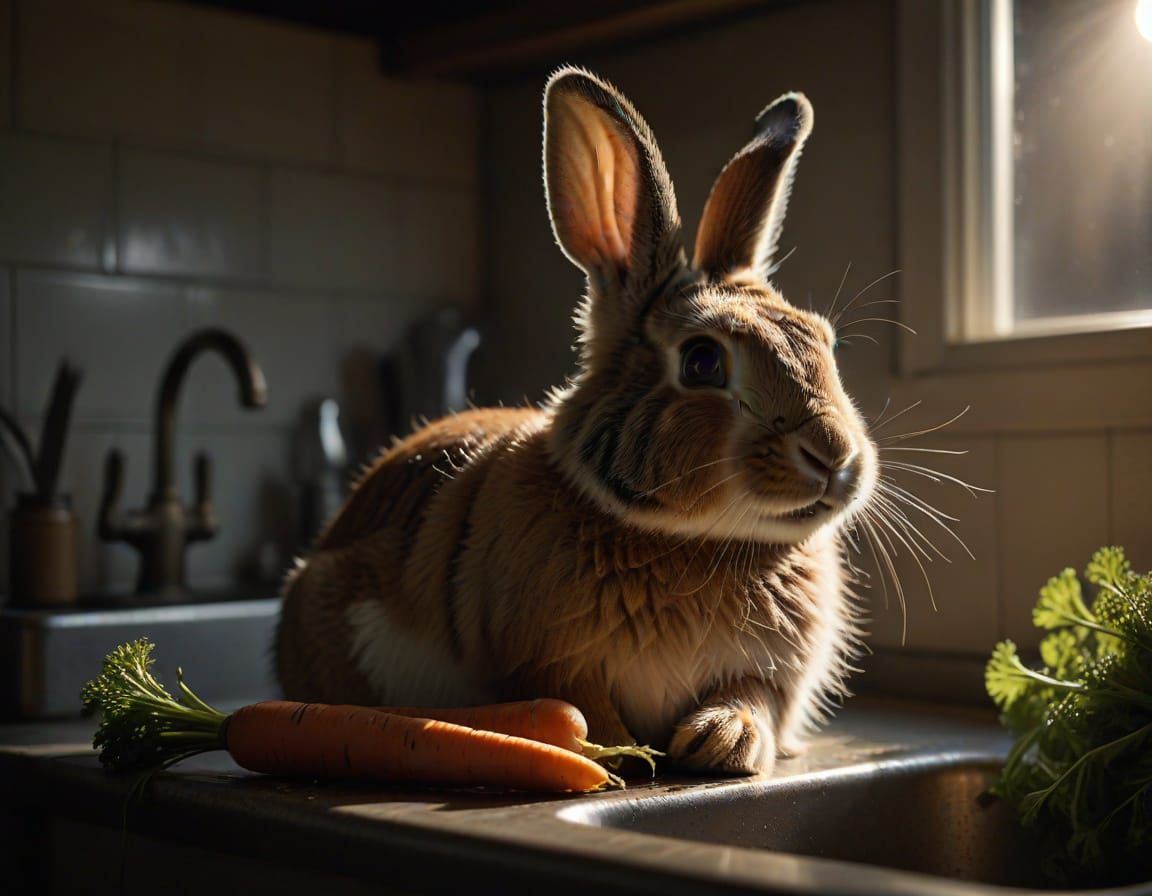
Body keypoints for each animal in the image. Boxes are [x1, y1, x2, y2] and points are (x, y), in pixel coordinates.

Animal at [275, 66, 878, 776]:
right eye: (702, 362)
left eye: (824, 341)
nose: (834, 455)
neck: (697, 539)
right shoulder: (550, 660)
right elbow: (578, 703)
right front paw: (621, 753)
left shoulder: (770, 675)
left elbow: (751, 696)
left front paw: (722, 742)